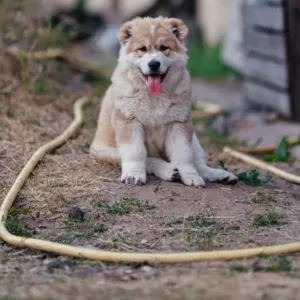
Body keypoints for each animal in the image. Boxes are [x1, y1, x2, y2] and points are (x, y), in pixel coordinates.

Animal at [90, 16, 238, 186]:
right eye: (142, 49)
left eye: (163, 48)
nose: (154, 64)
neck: (154, 97)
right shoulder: (129, 122)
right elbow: (136, 152)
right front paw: (134, 175)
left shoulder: (178, 124)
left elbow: (184, 154)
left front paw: (191, 176)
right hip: (107, 152)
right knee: (150, 160)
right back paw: (169, 171)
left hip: (194, 138)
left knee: (200, 164)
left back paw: (221, 175)